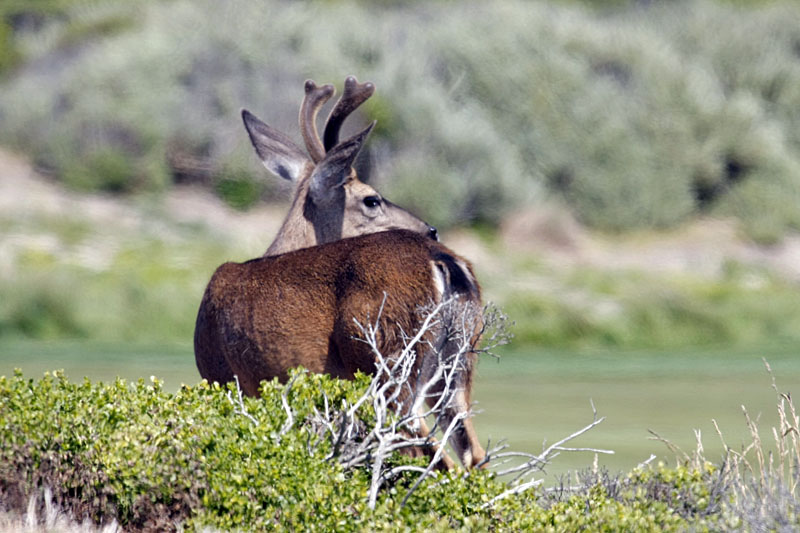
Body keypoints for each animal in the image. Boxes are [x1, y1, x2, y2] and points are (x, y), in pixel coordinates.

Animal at [194, 231, 488, 468]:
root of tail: (442, 260)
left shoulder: (229, 381)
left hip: (389, 360)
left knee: (420, 452)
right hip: (454, 366)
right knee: (471, 451)